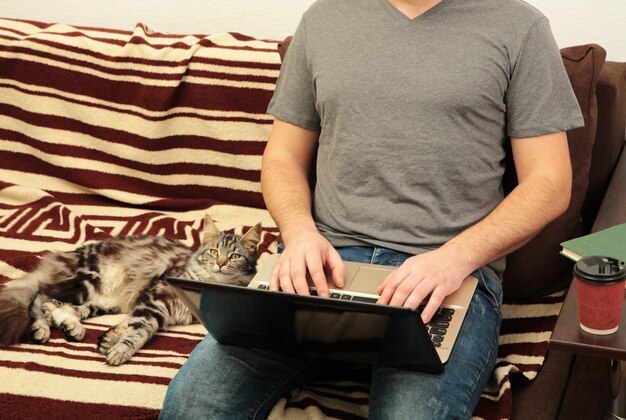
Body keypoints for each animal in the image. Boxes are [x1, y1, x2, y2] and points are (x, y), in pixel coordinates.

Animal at [0, 217, 260, 364]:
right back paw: (41, 329)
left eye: (234, 256)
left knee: (61, 307)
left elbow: (129, 323)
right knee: (39, 300)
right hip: (84, 282)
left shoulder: (154, 305)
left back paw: (71, 327)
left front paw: (110, 340)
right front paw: (121, 351)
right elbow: (140, 329)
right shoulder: (156, 297)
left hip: (101, 301)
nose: (221, 264)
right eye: (214, 253)